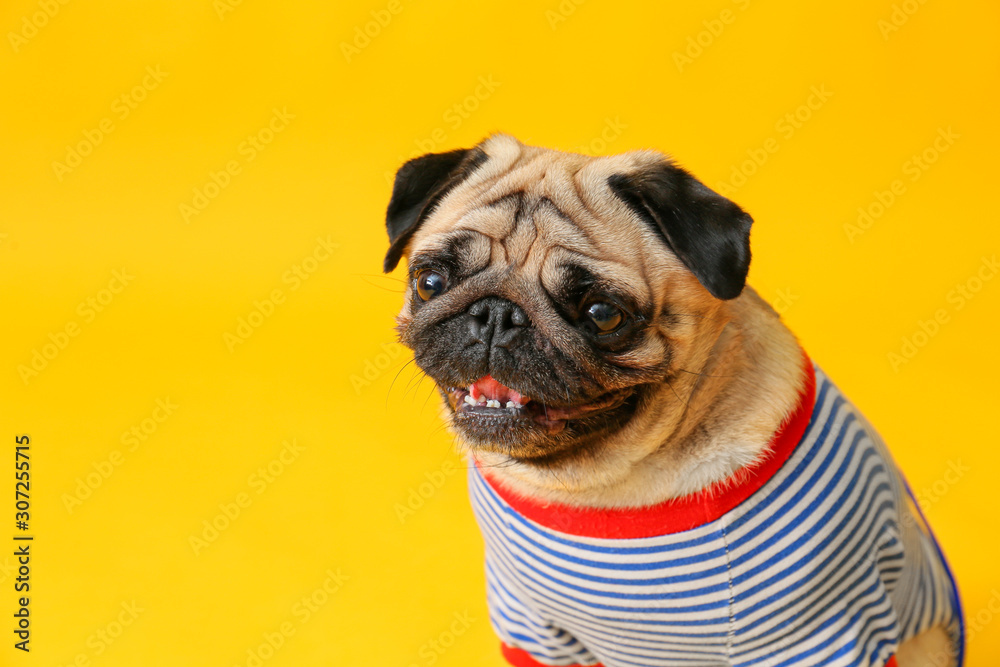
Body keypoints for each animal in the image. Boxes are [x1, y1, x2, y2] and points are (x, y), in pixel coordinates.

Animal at [382, 136, 960, 667]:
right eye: (430, 281)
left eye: (603, 315)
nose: (497, 315)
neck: (596, 489)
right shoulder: (535, 632)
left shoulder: (813, 637)